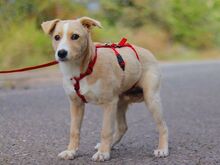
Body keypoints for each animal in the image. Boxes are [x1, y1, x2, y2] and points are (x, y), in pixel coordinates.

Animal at [40, 16, 168, 161]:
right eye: (56, 37)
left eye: (75, 36)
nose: (61, 53)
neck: (84, 68)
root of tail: (147, 51)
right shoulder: (76, 104)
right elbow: (74, 130)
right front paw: (71, 151)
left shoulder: (109, 103)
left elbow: (106, 130)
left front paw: (103, 153)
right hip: (120, 102)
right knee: (122, 127)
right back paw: (108, 145)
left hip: (151, 98)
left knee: (162, 126)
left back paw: (162, 149)